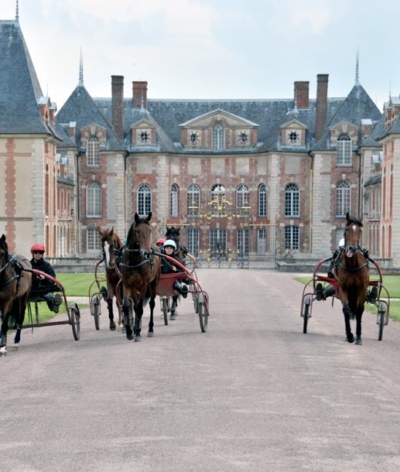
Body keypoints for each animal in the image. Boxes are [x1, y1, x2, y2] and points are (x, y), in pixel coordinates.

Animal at [120, 212, 161, 342]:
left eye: (150, 230)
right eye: (137, 231)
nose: (147, 253)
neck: (134, 260)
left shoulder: (143, 285)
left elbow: (140, 309)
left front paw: (137, 332)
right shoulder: (127, 284)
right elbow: (127, 306)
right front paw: (129, 331)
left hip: (154, 284)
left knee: (151, 304)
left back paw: (150, 329)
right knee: (135, 305)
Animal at [334, 213, 368, 342]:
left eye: (359, 230)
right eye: (347, 229)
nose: (352, 249)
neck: (352, 265)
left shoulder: (362, 289)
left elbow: (359, 310)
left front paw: (358, 336)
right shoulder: (343, 288)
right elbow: (346, 310)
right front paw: (349, 335)